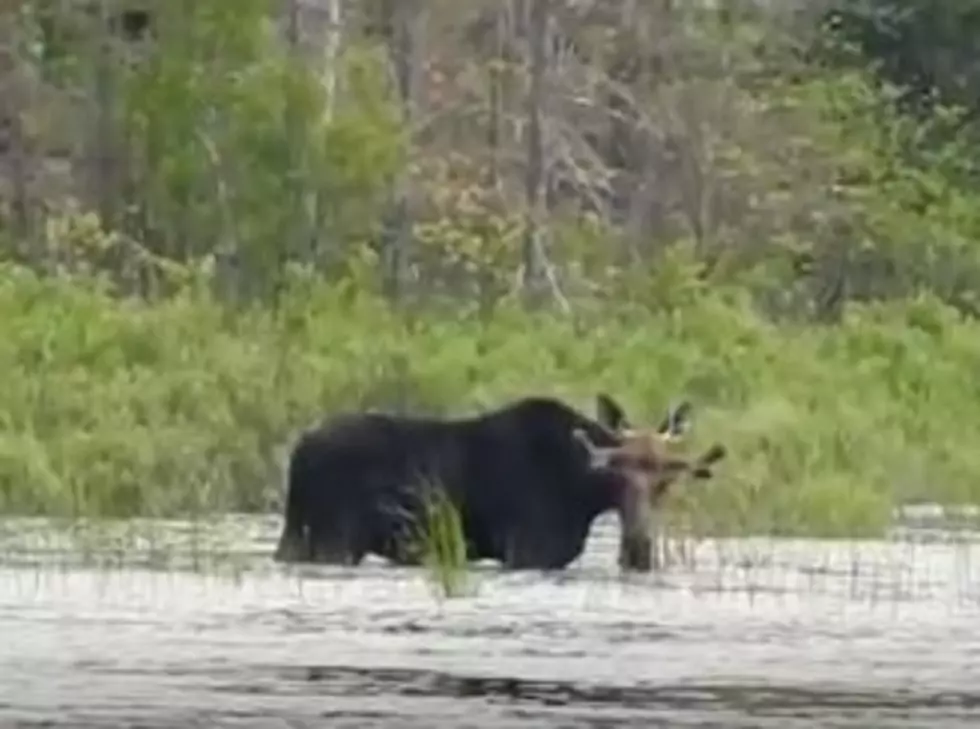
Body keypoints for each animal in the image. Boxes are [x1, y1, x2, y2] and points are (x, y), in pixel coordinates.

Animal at [272, 390, 724, 572]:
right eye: (615, 472)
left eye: (666, 479)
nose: (638, 548)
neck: (583, 495)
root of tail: (297, 453)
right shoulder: (529, 550)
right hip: (332, 540)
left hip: (299, 535)